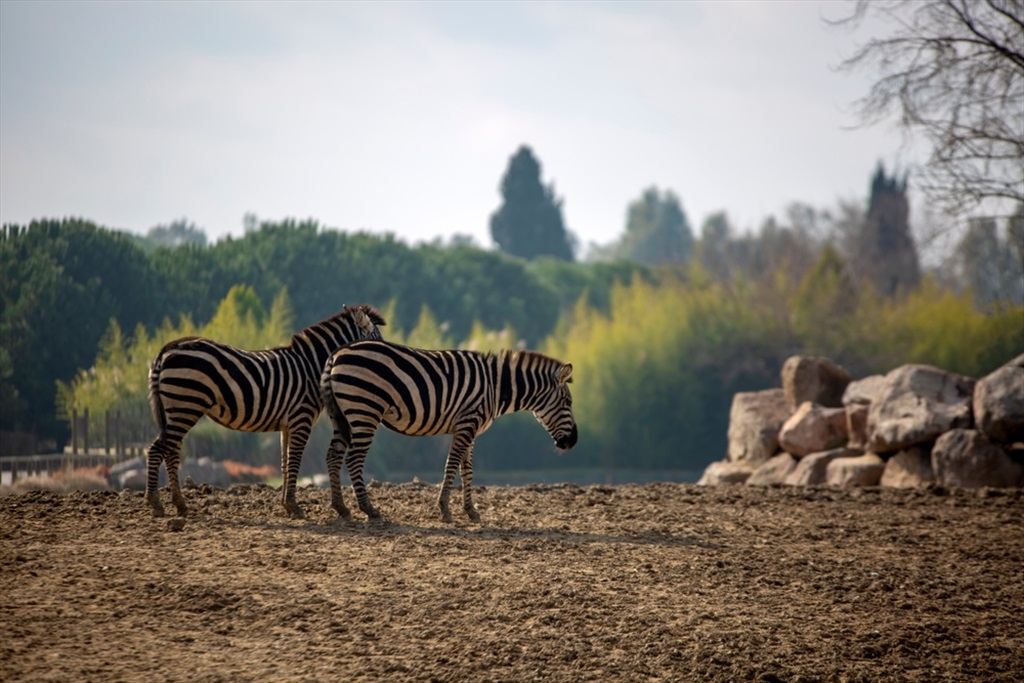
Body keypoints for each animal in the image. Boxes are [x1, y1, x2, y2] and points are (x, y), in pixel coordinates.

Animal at [144, 305, 385, 518]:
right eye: (377, 339)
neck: (311, 367)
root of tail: (168, 348)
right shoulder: (301, 418)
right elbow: (295, 461)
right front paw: (294, 507)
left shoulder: (287, 424)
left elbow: (285, 463)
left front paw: (287, 505)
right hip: (185, 406)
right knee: (158, 450)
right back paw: (157, 504)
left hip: (177, 409)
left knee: (170, 451)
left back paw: (178, 504)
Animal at [319, 339, 577, 524]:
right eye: (567, 402)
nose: (572, 442)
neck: (495, 387)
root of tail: (337, 353)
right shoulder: (467, 422)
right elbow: (451, 465)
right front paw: (445, 509)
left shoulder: (470, 428)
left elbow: (467, 471)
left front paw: (471, 511)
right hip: (364, 410)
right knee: (353, 459)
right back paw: (368, 509)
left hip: (342, 416)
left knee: (333, 456)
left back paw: (341, 508)